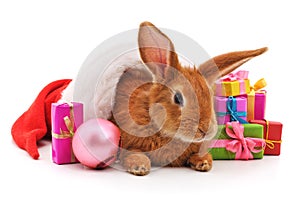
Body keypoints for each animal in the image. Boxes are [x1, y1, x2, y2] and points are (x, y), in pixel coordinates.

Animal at [110, 21, 268, 175]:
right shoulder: (129, 144)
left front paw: (204, 162)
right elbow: (133, 154)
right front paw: (140, 166)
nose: (205, 130)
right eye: (178, 98)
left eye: (210, 97)